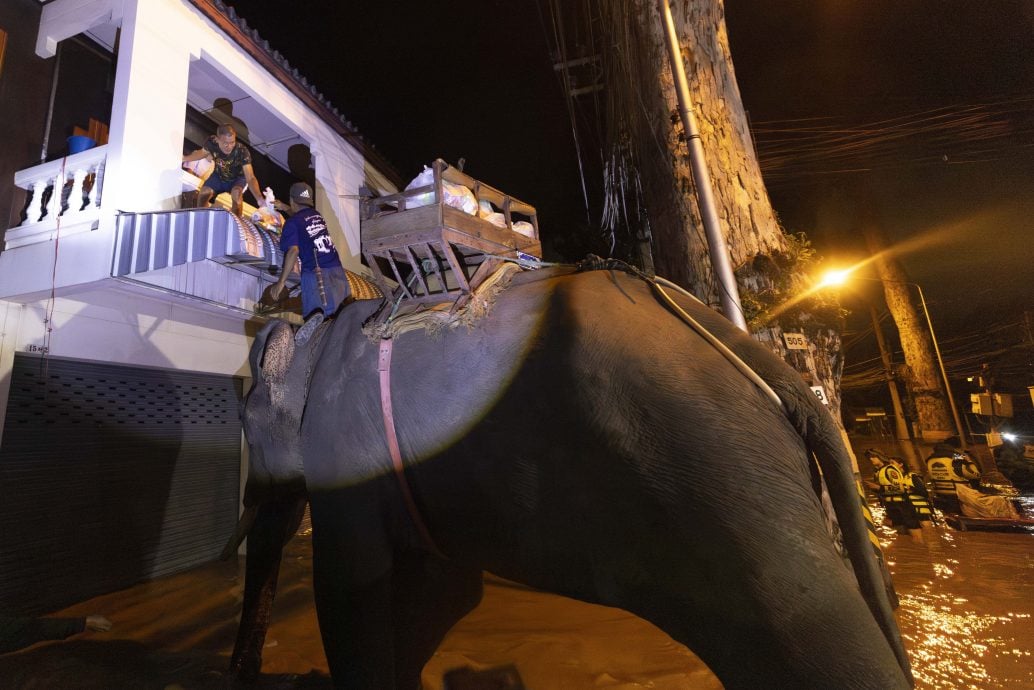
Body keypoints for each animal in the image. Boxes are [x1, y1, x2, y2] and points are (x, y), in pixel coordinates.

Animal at [228, 264, 914, 690]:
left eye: (245, 422)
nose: (245, 671)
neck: (322, 331)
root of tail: (774, 370)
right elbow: (443, 595)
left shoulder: (344, 446)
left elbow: (352, 590)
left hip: (733, 493)